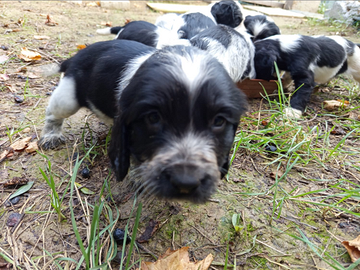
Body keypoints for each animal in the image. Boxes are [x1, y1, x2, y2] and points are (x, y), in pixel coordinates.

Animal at [38, 38, 248, 202]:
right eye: (153, 118)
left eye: (219, 121)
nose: (186, 183)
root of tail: (75, 57)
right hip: (68, 98)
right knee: (53, 113)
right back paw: (51, 135)